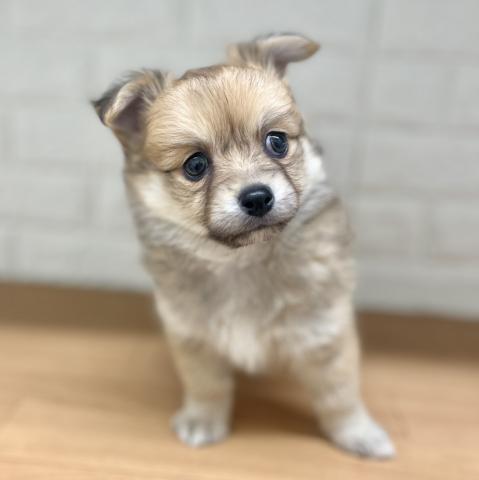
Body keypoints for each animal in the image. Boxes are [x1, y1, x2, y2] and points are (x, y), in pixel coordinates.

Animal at [93, 33, 395, 459]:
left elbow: (340, 394)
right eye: (195, 166)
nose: (256, 197)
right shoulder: (191, 334)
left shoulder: (325, 331)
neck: (241, 259)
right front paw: (203, 421)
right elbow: (207, 385)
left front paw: (359, 434)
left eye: (277, 142)